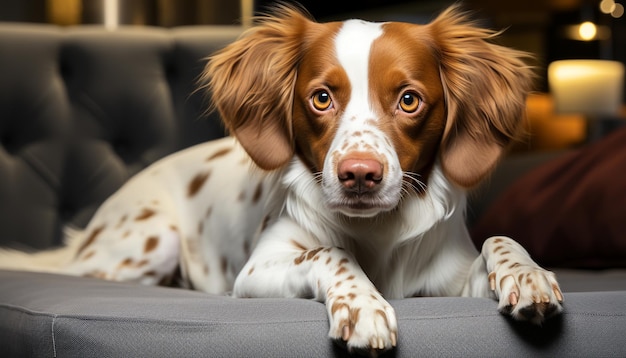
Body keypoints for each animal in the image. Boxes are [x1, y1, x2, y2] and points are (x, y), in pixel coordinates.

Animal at [0, 4, 564, 356]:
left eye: (409, 99)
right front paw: (362, 305)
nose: (359, 174)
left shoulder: (447, 281)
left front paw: (529, 276)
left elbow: (499, 239)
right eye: (321, 97)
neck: (377, 234)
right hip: (150, 242)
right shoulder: (256, 274)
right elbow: (329, 252)